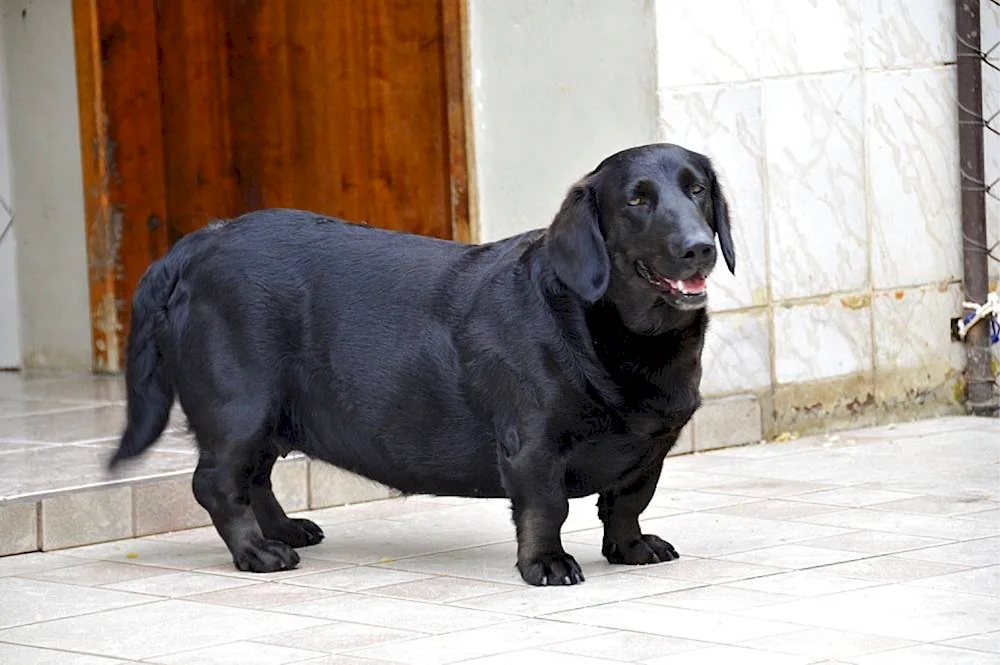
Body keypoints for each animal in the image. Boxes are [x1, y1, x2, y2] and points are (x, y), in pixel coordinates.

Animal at [111, 143, 736, 584]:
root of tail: (197, 245)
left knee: (255, 475)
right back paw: (258, 551)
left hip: (269, 414)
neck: (617, 334)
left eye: (698, 190)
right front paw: (545, 563)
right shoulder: (532, 445)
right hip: (240, 407)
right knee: (218, 482)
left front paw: (631, 548)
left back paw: (284, 529)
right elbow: (546, 506)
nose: (700, 248)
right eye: (636, 200)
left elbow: (628, 501)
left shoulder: (651, 447)